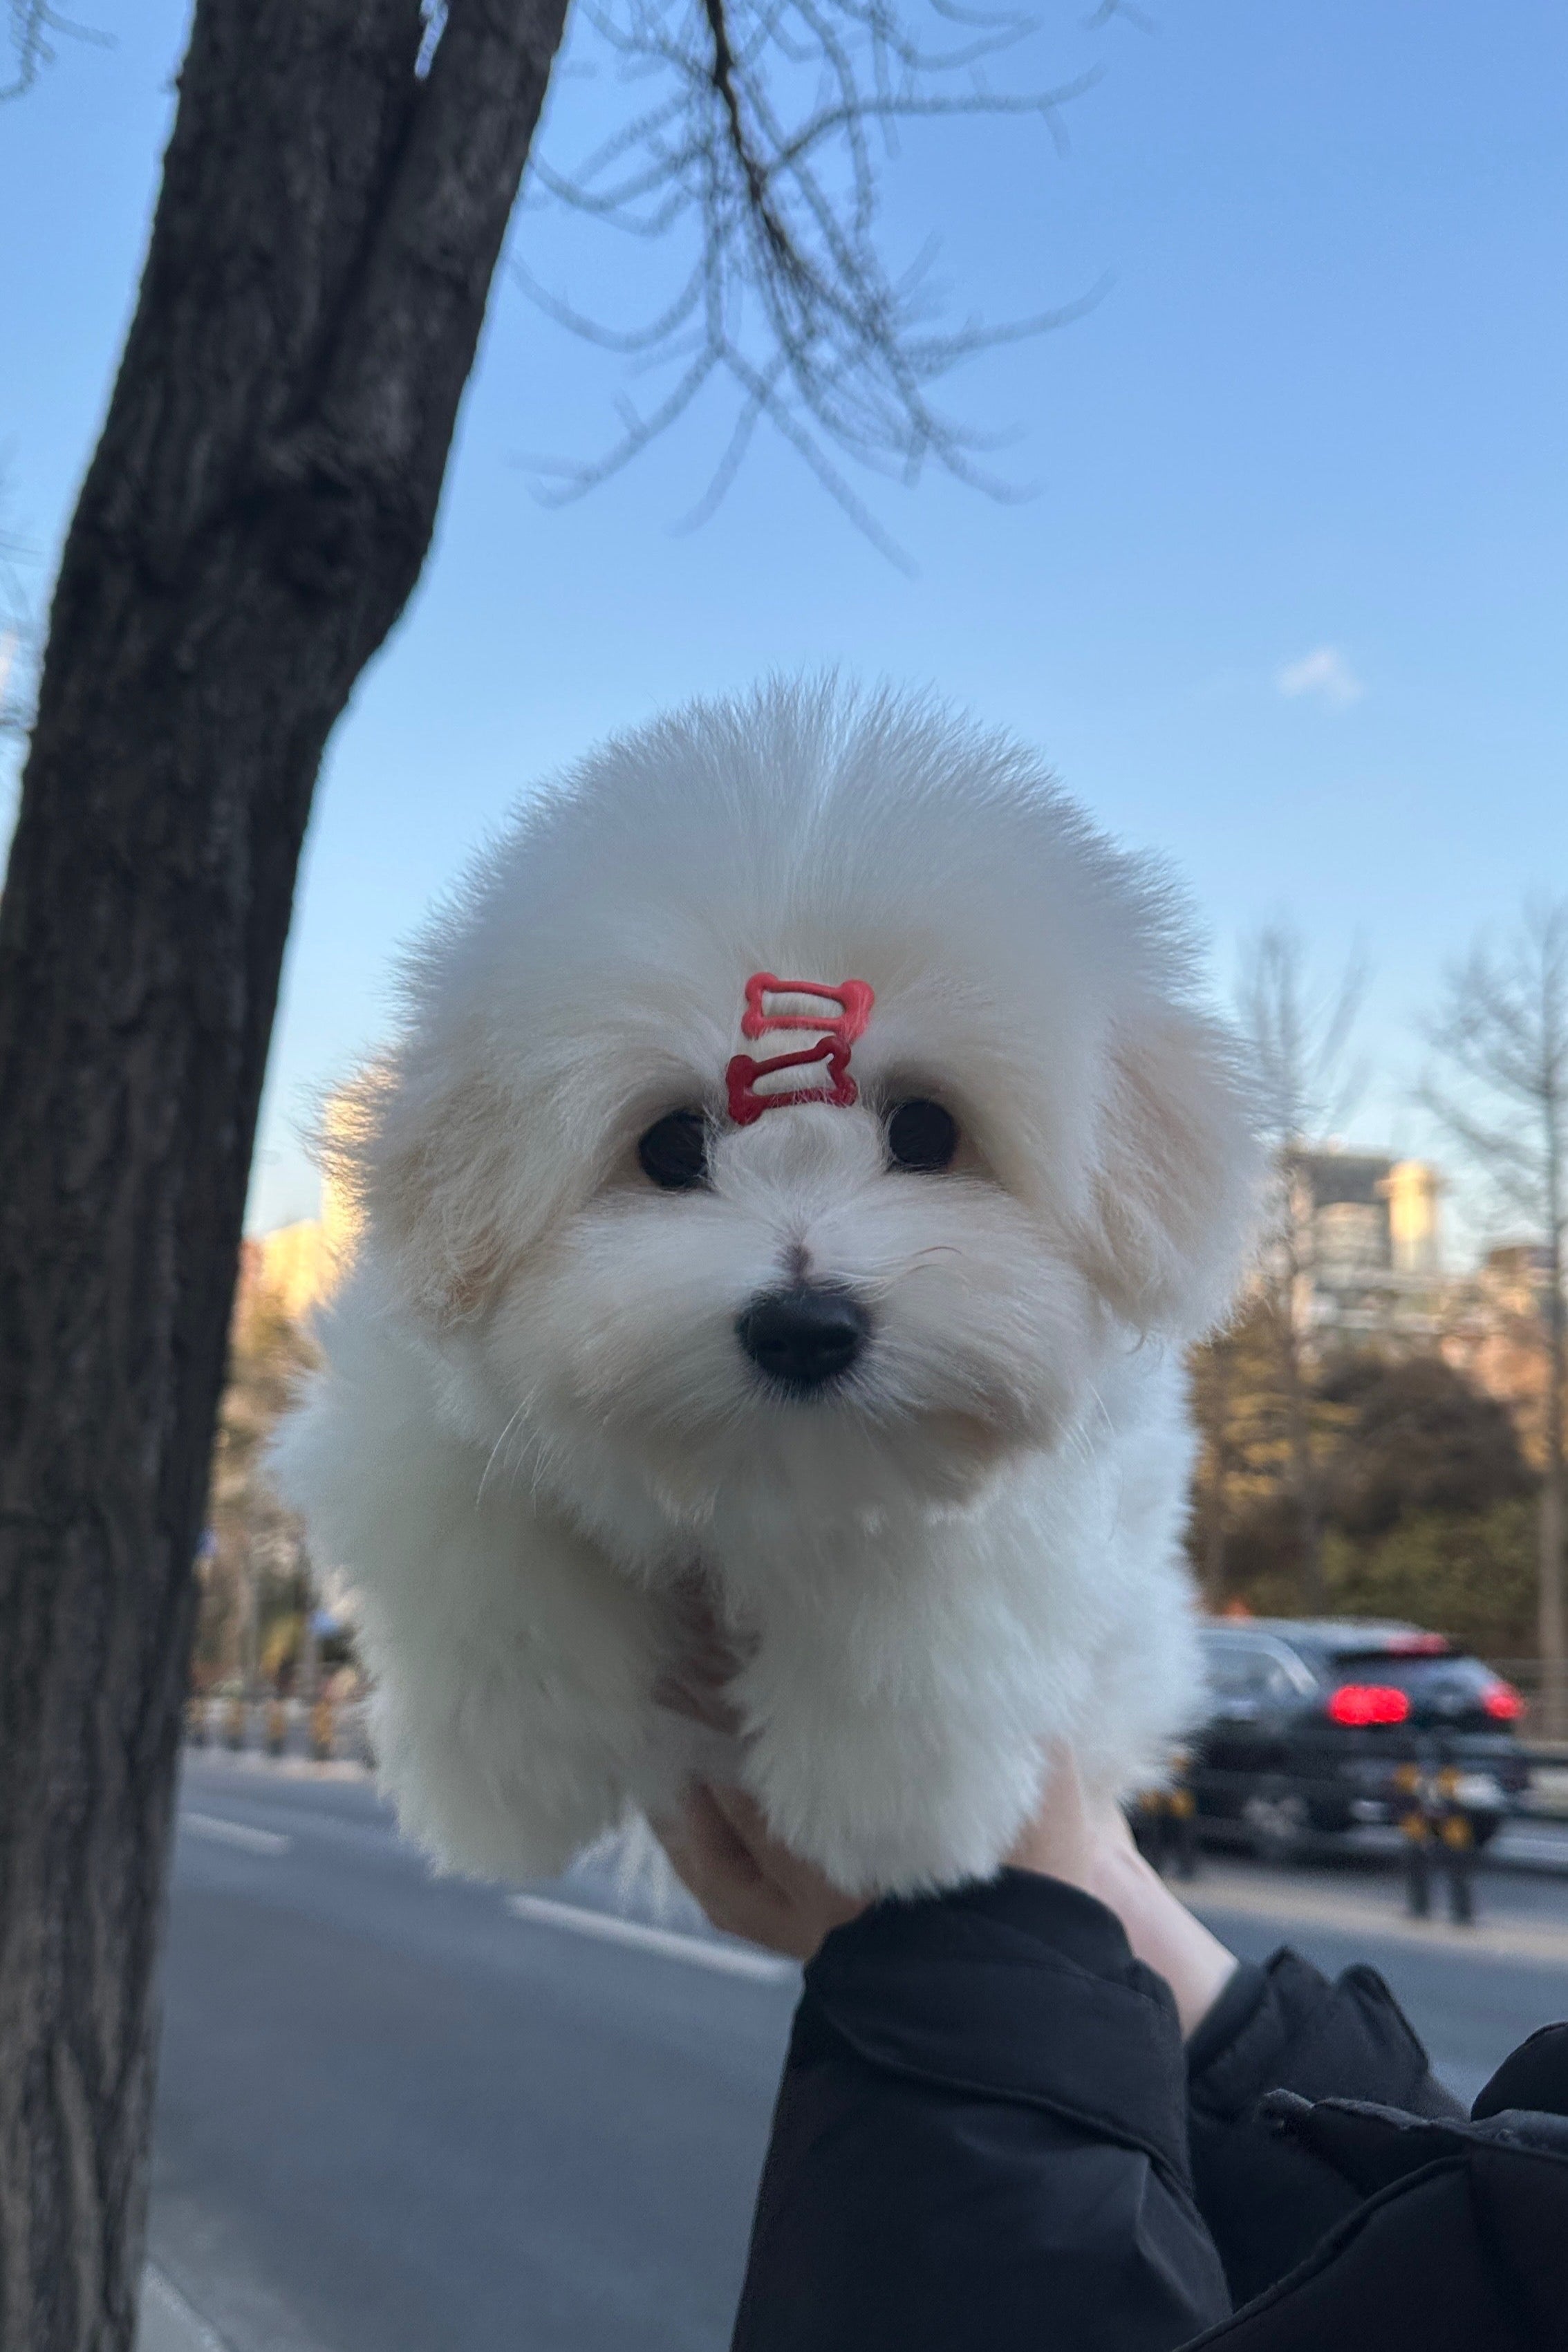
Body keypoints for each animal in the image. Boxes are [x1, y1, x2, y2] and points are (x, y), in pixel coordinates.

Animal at [282, 677, 1260, 1891]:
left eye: (927, 1130)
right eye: (668, 1145)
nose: (806, 1324)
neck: (767, 1480)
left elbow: (924, 1591)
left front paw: (890, 1818)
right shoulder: (405, 1419)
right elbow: (486, 1560)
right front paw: (511, 1795)